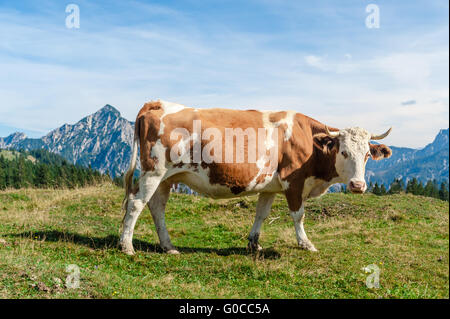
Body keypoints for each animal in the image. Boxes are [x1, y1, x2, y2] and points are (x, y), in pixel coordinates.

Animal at [118, 100, 392, 255]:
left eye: (367, 154)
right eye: (343, 152)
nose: (358, 185)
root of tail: (156, 102)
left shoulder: (269, 186)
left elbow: (261, 214)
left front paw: (253, 243)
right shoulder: (293, 182)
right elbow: (299, 215)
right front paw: (306, 244)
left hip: (165, 178)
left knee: (157, 207)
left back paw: (168, 247)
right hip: (154, 170)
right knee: (136, 203)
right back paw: (127, 247)